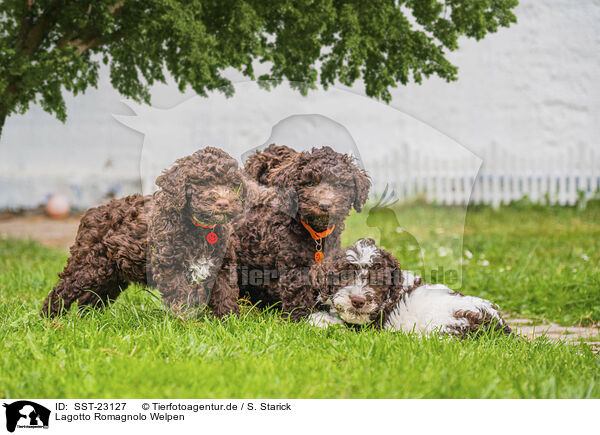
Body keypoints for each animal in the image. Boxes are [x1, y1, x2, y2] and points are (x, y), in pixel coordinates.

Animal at [234, 146, 370, 320]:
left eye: (340, 185)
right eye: (310, 183)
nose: (325, 205)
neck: (315, 233)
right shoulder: (295, 265)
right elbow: (298, 294)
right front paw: (302, 318)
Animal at [310, 238, 510, 338]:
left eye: (379, 280)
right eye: (344, 276)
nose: (358, 301)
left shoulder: (370, 326)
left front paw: (320, 321)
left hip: (445, 322)